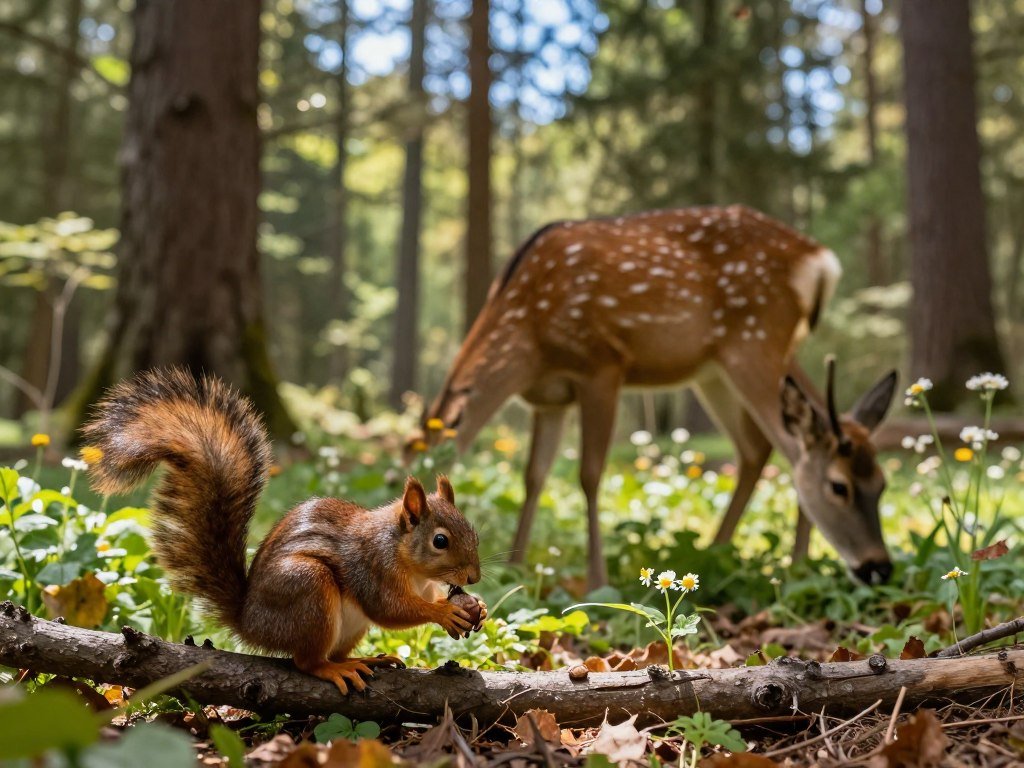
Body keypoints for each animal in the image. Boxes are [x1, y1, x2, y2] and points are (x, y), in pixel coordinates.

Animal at [82, 367, 486, 695]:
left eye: (475, 533)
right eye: (439, 541)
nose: (474, 577)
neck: (404, 555)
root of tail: (250, 622)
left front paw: (474, 606)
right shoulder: (372, 568)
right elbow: (391, 610)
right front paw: (443, 612)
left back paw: (368, 660)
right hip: (308, 590)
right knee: (307, 661)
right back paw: (336, 670)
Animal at [417, 206, 897, 590]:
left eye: (844, 487)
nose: (880, 570)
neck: (529, 340)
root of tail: (820, 261)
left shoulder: (602, 364)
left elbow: (589, 474)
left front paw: (597, 581)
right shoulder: (549, 400)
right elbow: (534, 475)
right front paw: (516, 569)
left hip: (755, 340)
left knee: (793, 447)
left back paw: (795, 569)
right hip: (723, 366)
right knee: (764, 445)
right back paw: (719, 554)